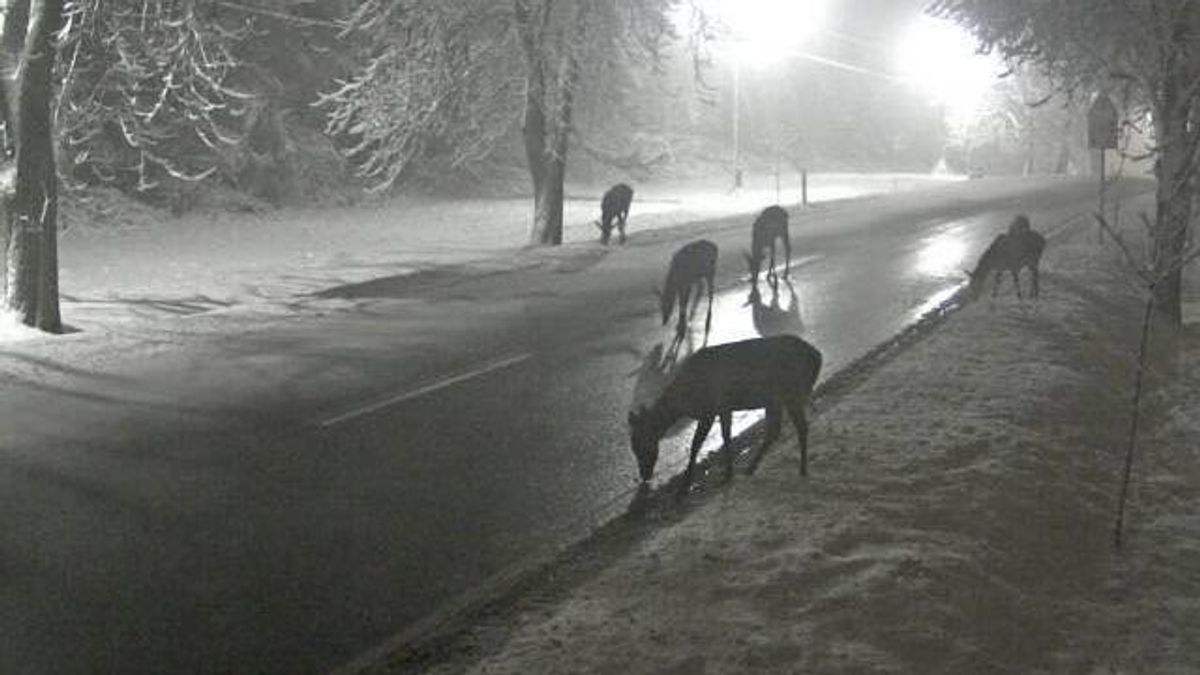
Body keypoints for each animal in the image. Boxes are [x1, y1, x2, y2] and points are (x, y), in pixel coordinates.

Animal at [624, 331, 820, 482]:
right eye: (633, 446)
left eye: (640, 444)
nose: (644, 476)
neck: (685, 401)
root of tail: (817, 356)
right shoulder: (724, 409)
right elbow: (725, 436)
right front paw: (728, 473)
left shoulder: (710, 410)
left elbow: (696, 444)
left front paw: (685, 485)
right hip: (775, 399)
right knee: (775, 431)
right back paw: (751, 468)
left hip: (791, 391)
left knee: (800, 427)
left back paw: (802, 469)